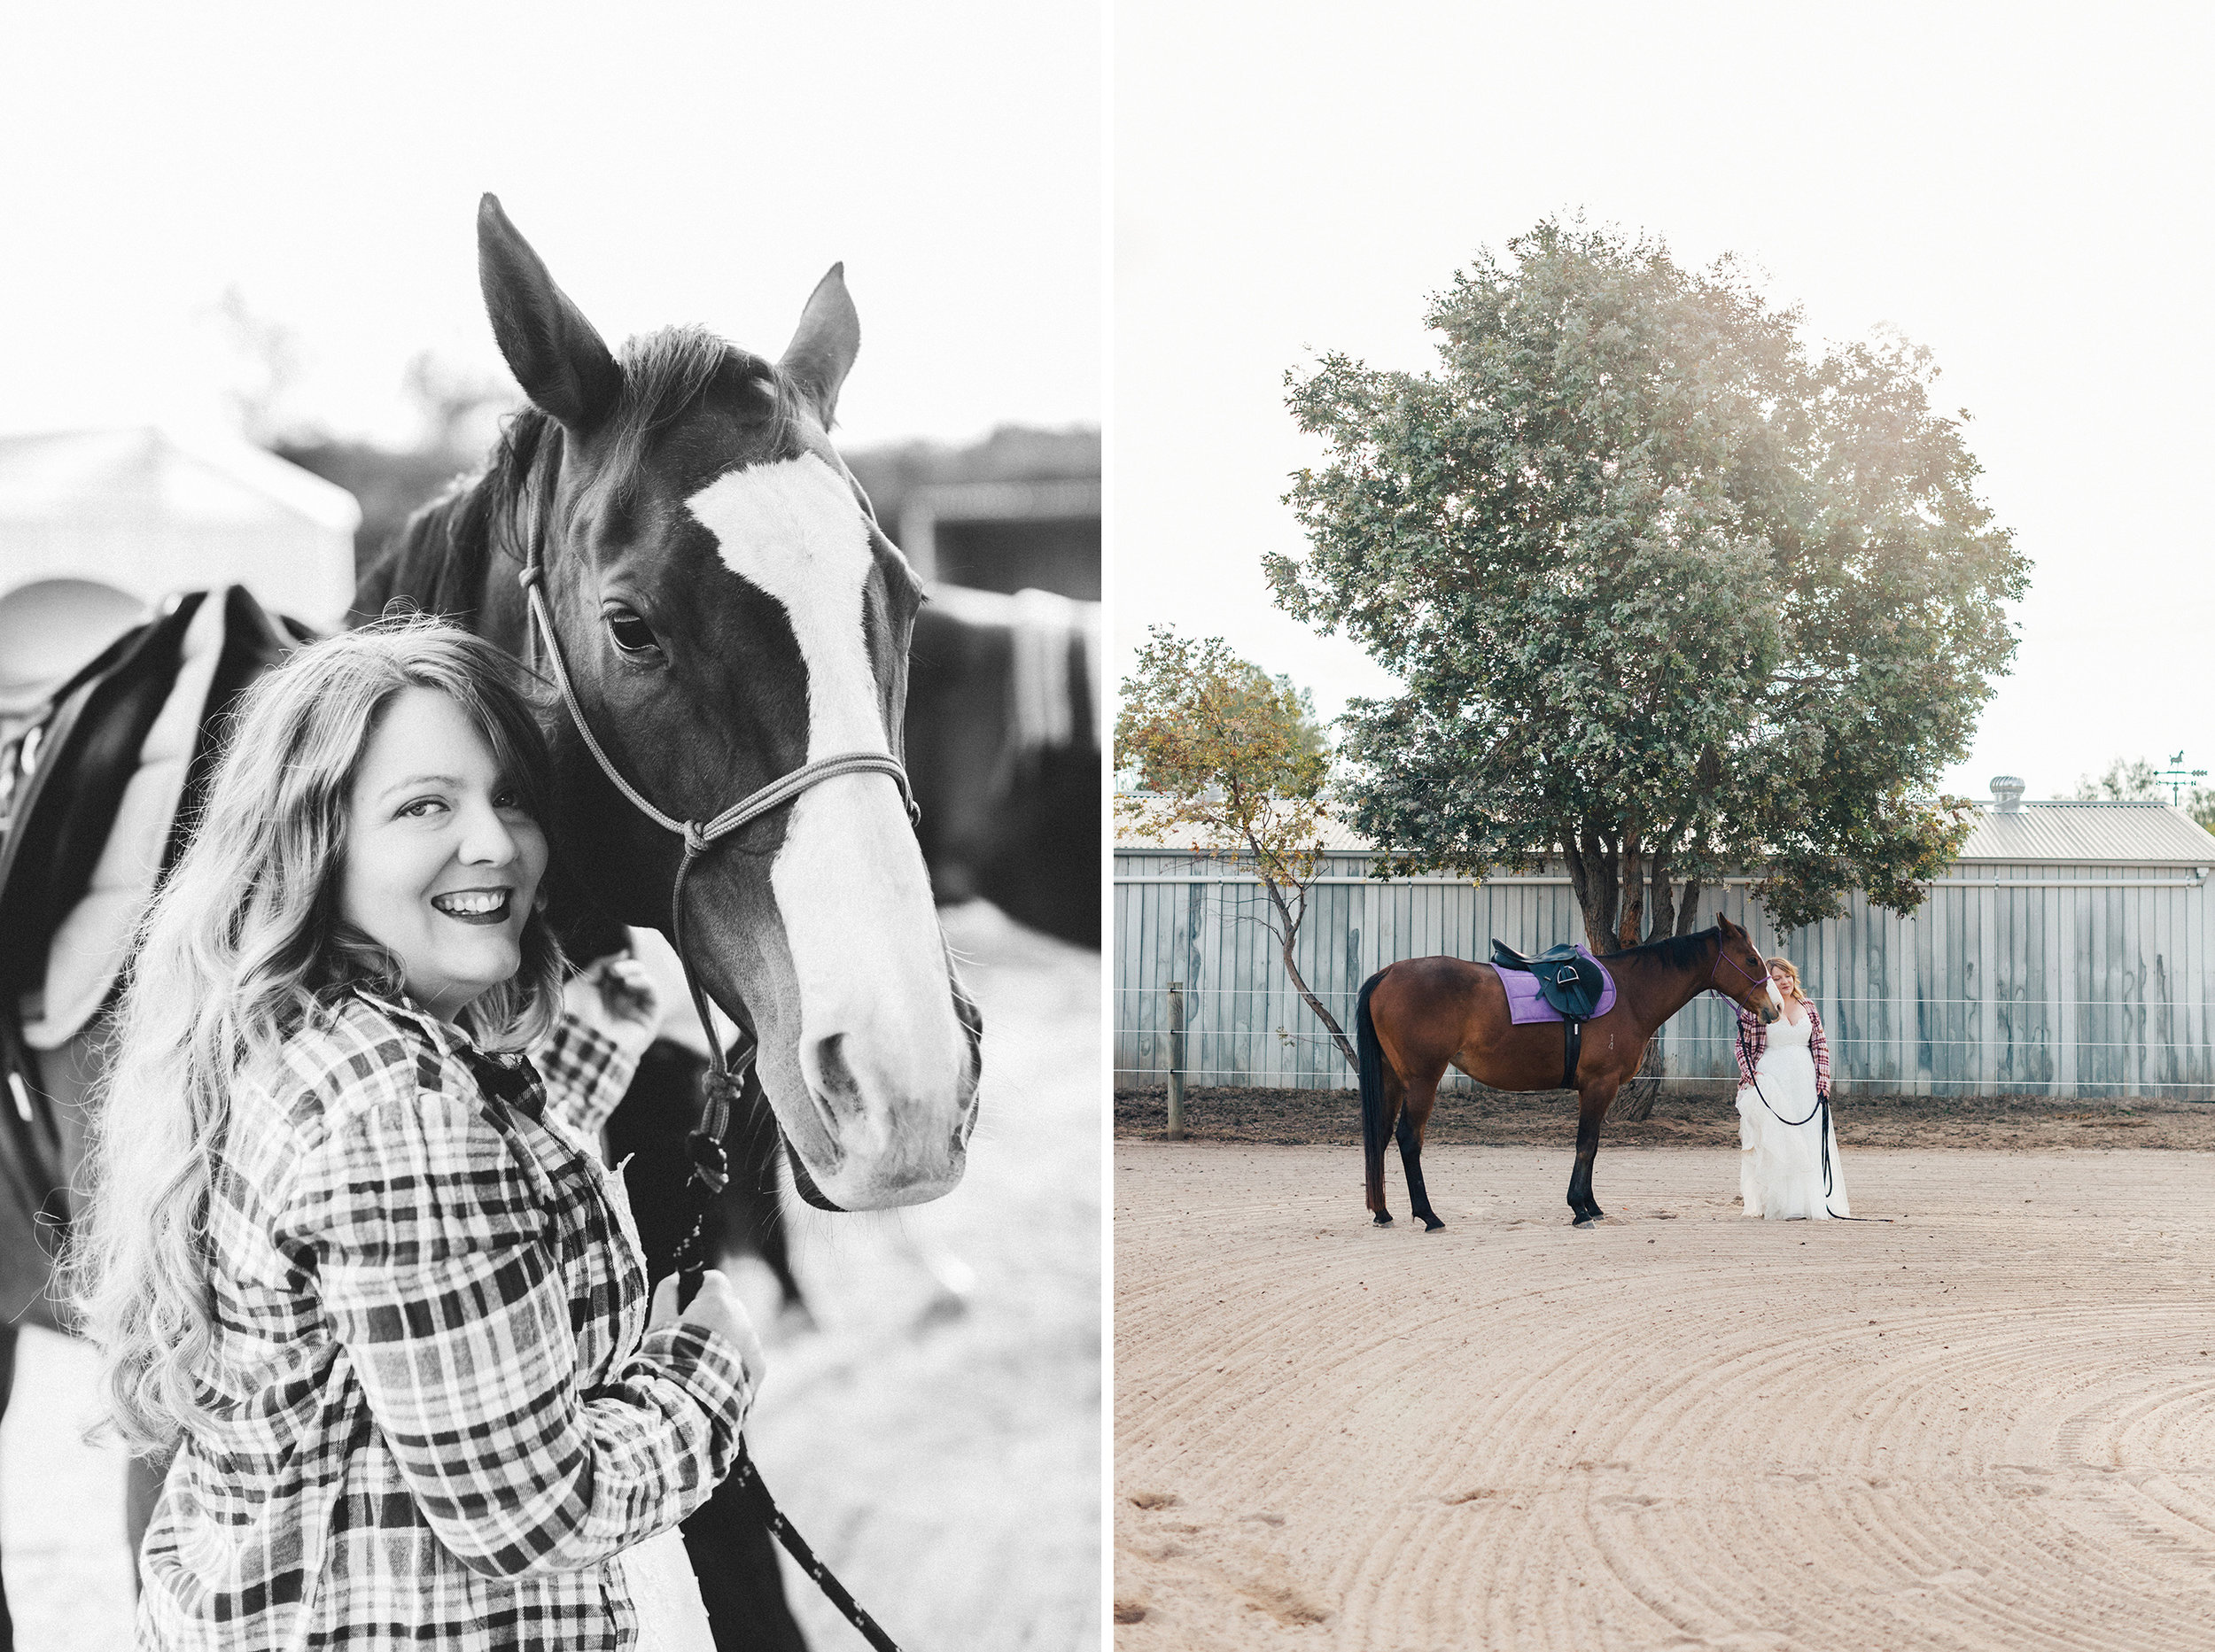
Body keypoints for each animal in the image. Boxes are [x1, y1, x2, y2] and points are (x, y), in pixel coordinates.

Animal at [1347, 912, 1781, 1222]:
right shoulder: (1599, 1085)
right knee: (1408, 1139)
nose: (1774, 1008)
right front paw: (1579, 1208)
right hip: (1422, 1080)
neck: (1630, 993)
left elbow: (1593, 1145)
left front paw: (1592, 1205)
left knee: (1381, 1136)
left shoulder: (1600, 1089)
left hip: (1392, 1079)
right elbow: (1586, 1144)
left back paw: (1383, 1212)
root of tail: (1387, 973)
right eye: (1750, 959)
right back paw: (1428, 1215)